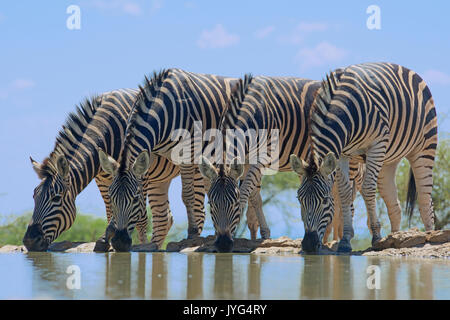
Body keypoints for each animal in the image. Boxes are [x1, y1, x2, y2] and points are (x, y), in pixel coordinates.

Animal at [22, 89, 202, 251]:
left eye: (56, 198)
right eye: (34, 196)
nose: (30, 242)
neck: (107, 132)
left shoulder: (139, 174)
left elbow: (141, 216)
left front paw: (136, 245)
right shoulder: (103, 178)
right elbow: (110, 207)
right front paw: (106, 238)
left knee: (198, 211)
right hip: (160, 179)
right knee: (164, 218)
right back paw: (155, 246)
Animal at [96, 69, 268, 251]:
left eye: (134, 199)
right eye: (111, 197)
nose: (119, 243)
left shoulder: (186, 152)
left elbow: (187, 195)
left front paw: (192, 232)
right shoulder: (150, 154)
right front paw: (109, 232)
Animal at [199, 75, 364, 252]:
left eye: (234, 204)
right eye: (210, 203)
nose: (222, 244)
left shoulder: (263, 156)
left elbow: (245, 191)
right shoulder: (247, 159)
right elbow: (255, 196)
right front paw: (265, 234)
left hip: (351, 161)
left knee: (347, 196)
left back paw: (342, 238)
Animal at [294, 62, 438, 252]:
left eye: (325, 200)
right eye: (299, 199)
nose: (309, 245)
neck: (343, 107)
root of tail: (408, 69)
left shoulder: (377, 143)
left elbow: (369, 188)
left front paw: (376, 237)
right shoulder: (342, 153)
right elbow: (345, 193)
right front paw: (345, 241)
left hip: (425, 146)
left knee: (424, 197)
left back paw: (429, 236)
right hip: (388, 161)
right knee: (394, 204)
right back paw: (395, 238)